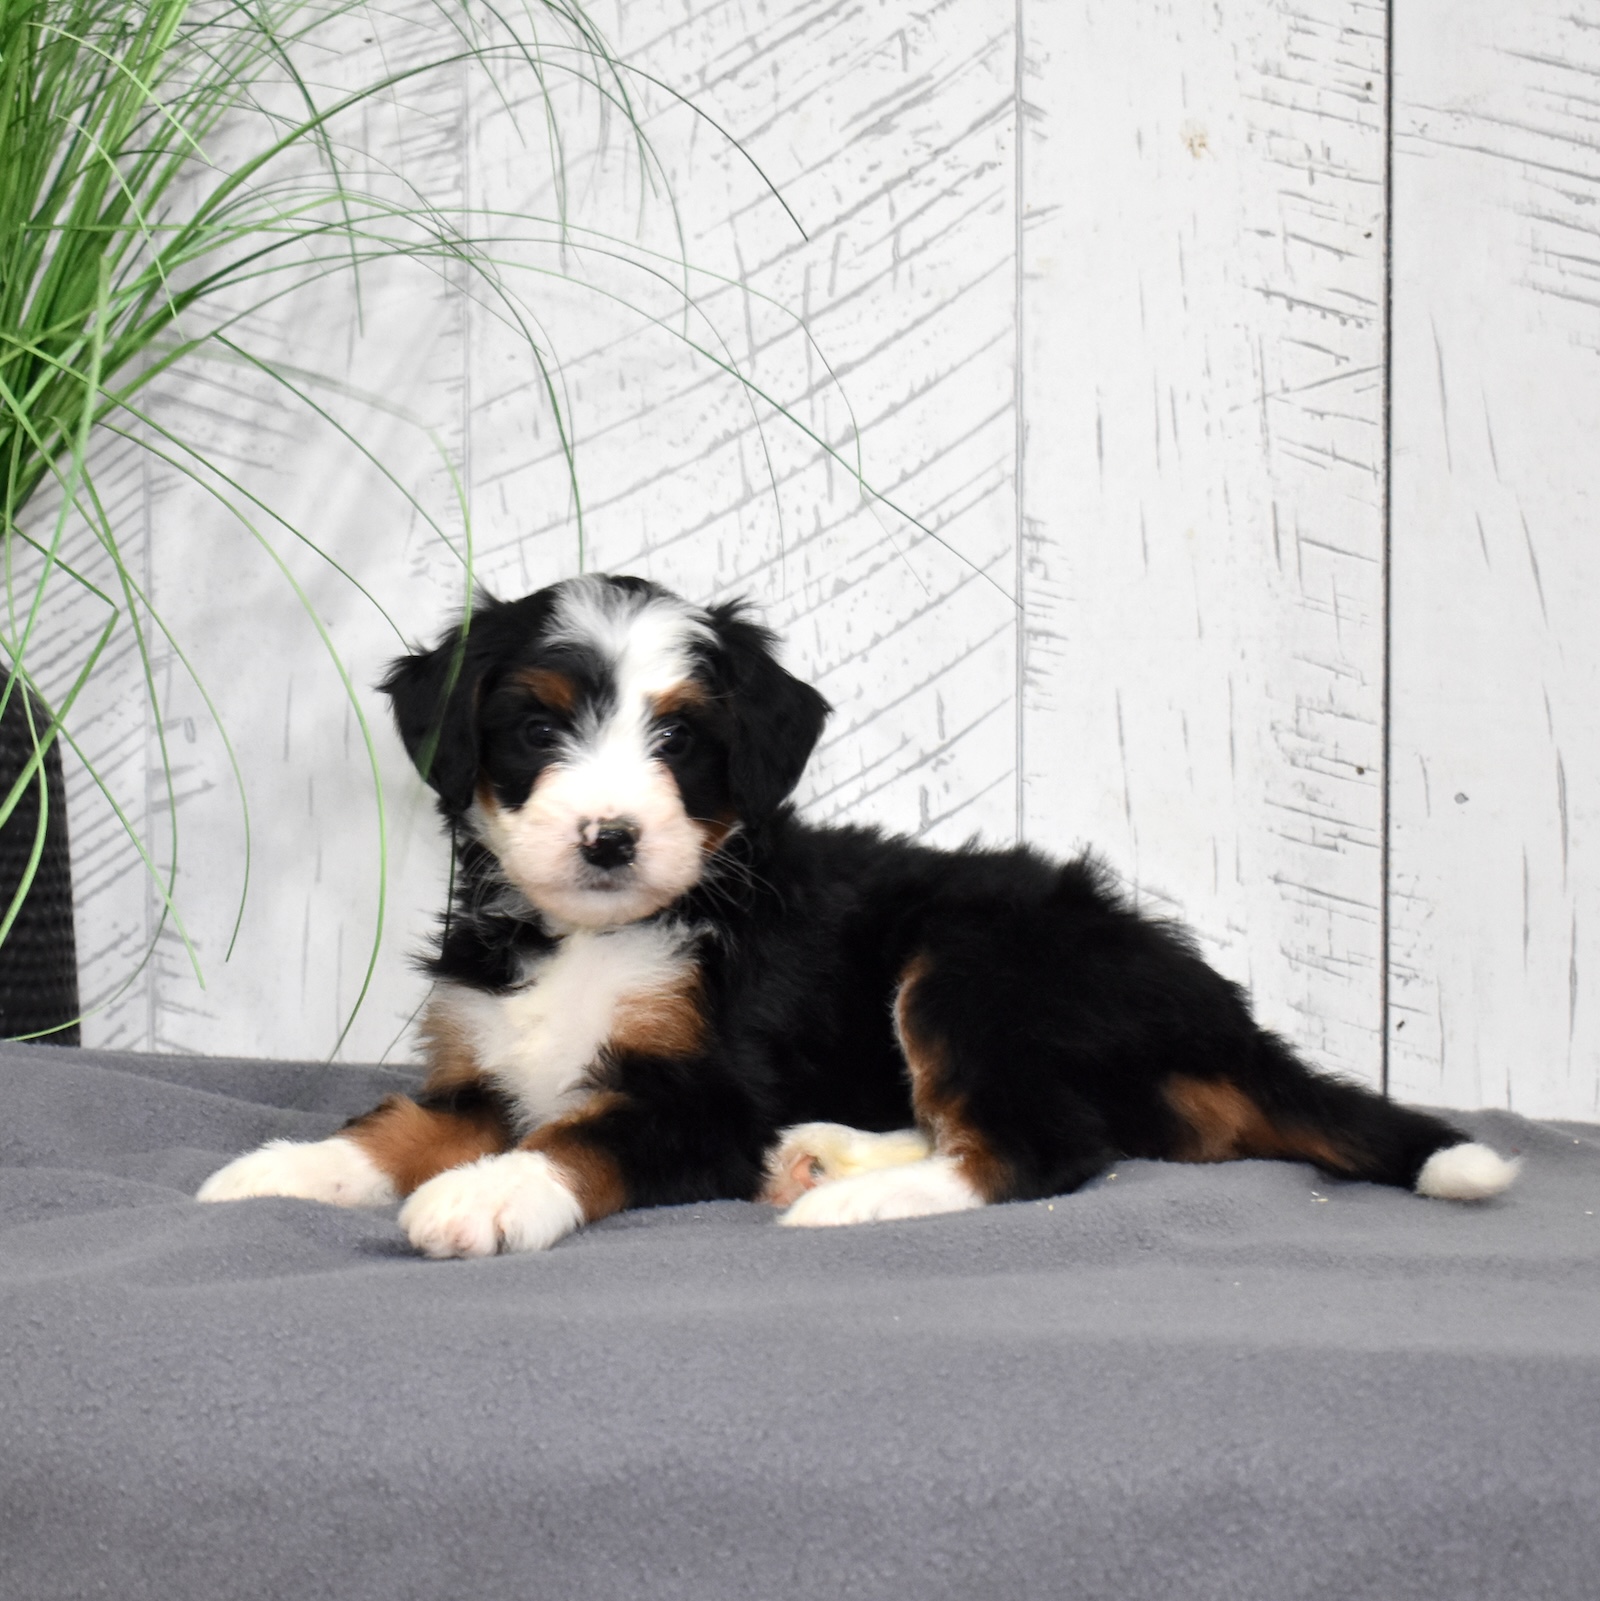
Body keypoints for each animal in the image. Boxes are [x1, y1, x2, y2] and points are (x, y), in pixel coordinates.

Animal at [198, 574, 1517, 1255]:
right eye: (536, 727)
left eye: (681, 742)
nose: (610, 837)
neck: (592, 937)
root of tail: (1218, 1013)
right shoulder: (481, 1063)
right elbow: (398, 1123)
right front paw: (288, 1167)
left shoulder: (705, 1095)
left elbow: (579, 1137)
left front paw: (488, 1194)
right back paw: (829, 1153)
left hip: (974, 961)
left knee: (1041, 1146)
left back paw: (854, 1196)